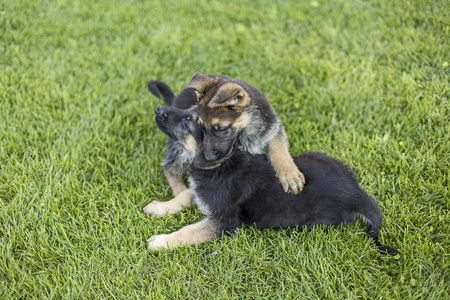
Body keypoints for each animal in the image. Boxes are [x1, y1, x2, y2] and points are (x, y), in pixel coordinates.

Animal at [146, 105, 400, 255]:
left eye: (187, 121)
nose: (158, 108)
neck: (221, 165)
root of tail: (358, 194)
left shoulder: (225, 222)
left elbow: (189, 231)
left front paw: (161, 242)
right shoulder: (201, 191)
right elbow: (185, 194)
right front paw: (159, 208)